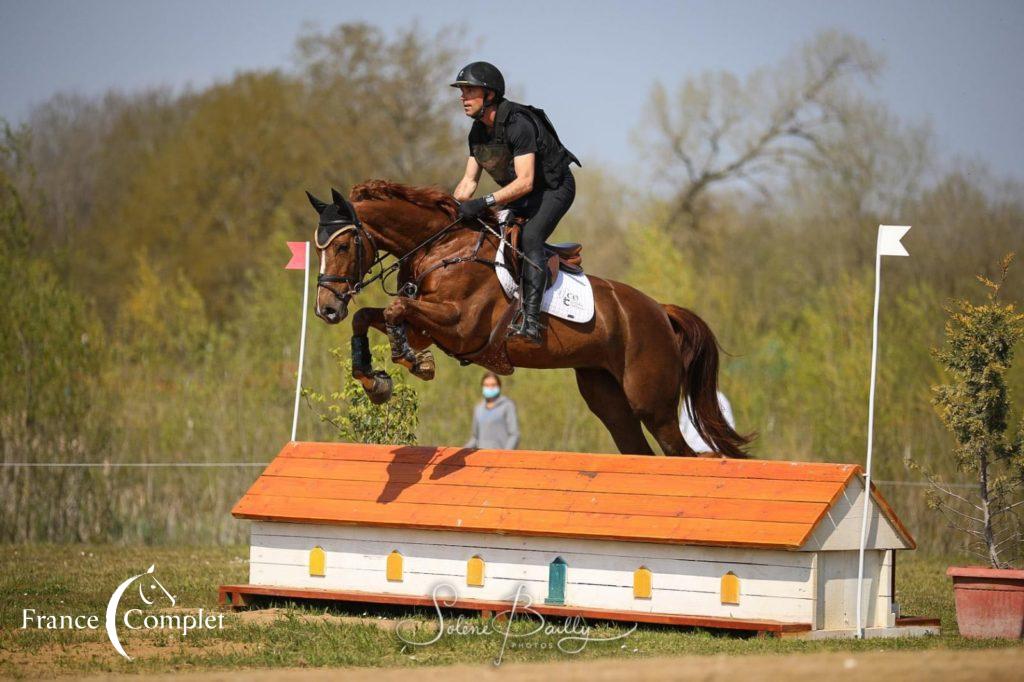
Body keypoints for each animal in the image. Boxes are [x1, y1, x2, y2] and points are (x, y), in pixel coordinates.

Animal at [307, 180, 749, 456]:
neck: (442, 247)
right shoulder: (428, 325)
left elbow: (396, 310)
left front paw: (412, 361)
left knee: (681, 452)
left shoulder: (461, 327)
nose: (326, 309)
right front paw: (375, 380)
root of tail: (660, 311)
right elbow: (368, 316)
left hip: (652, 404)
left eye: (343, 245)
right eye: (318, 247)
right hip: (608, 399)